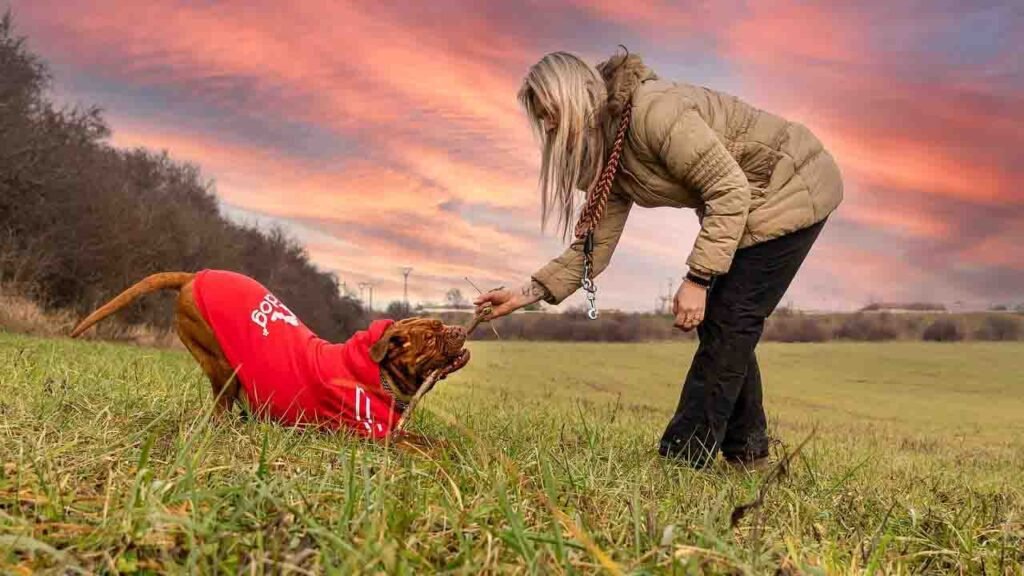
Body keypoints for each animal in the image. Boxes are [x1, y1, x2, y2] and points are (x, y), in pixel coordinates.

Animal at [70, 268, 468, 444]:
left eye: (442, 324)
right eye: (431, 337)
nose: (460, 330)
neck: (378, 374)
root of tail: (194, 275)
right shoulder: (374, 438)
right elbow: (427, 446)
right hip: (220, 362)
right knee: (221, 407)